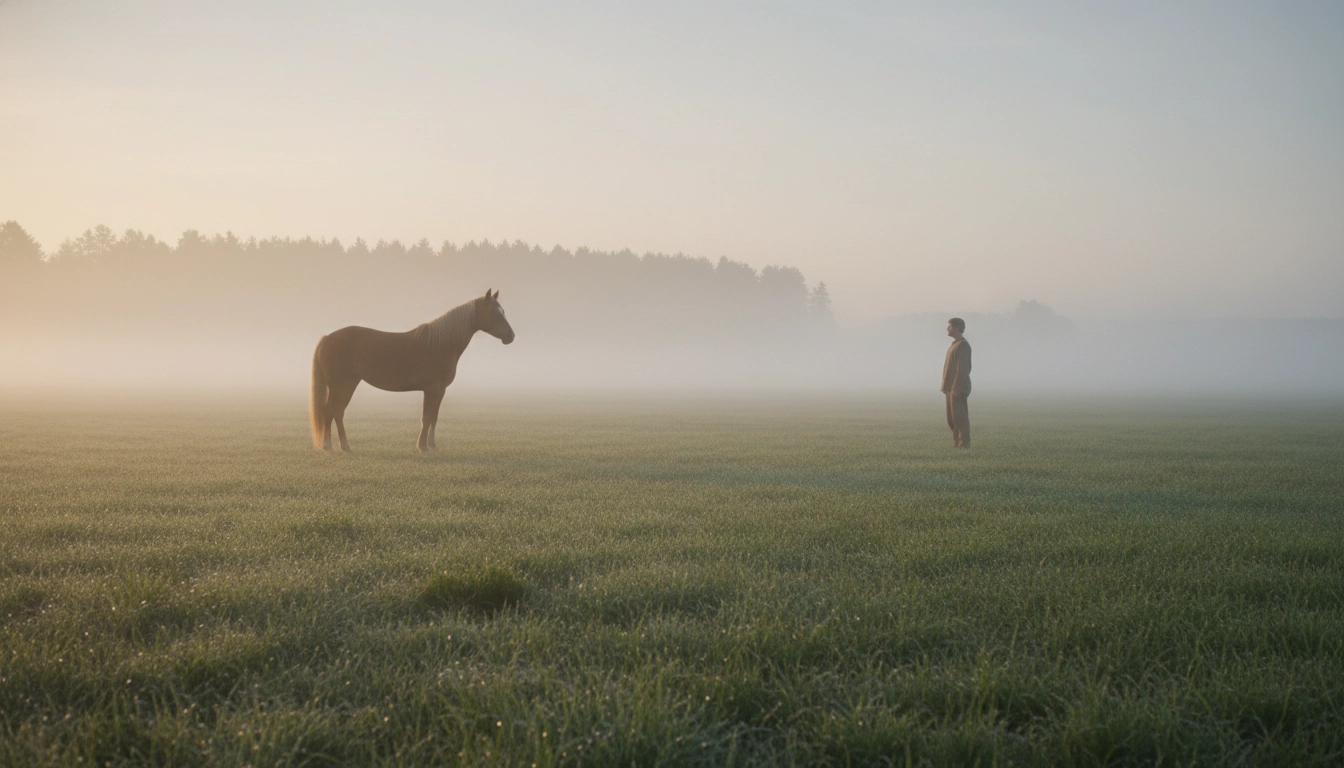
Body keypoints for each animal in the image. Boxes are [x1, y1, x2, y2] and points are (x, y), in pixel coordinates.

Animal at [309, 289, 515, 452]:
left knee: (336, 413)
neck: (441, 344)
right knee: (330, 412)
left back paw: (343, 446)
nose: (511, 336)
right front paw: (422, 446)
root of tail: (327, 338)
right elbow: (426, 417)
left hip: (345, 386)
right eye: (494, 312)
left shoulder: (439, 391)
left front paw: (432, 446)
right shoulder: (432, 389)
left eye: (503, 311)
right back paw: (330, 446)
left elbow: (433, 418)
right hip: (342, 386)